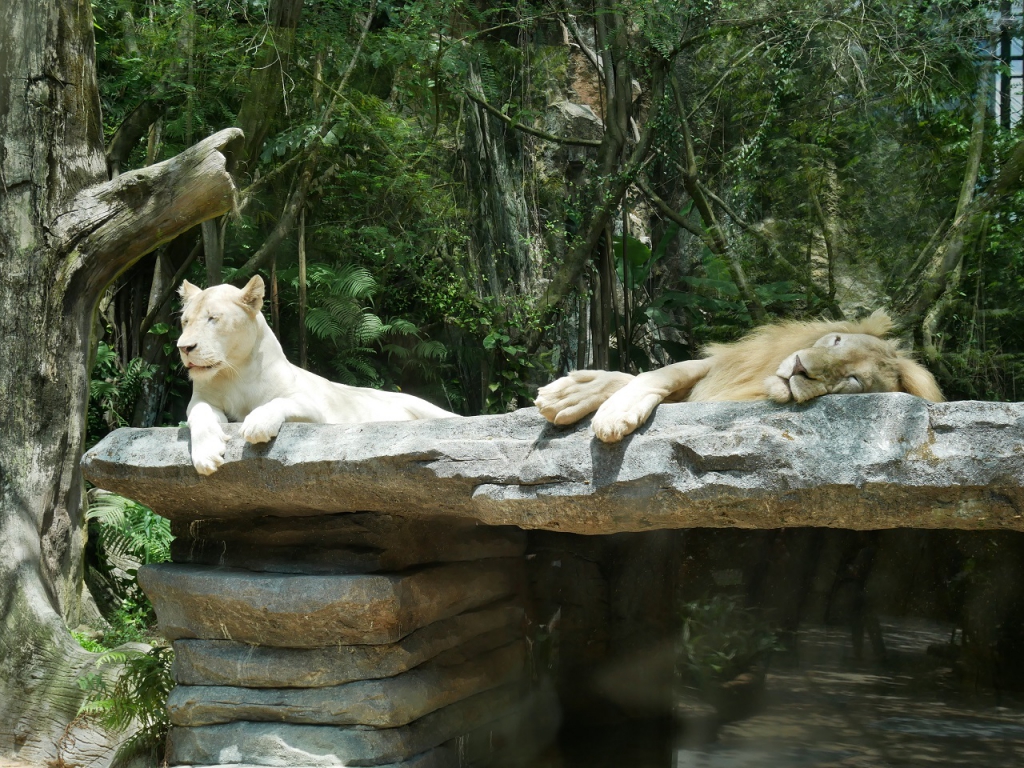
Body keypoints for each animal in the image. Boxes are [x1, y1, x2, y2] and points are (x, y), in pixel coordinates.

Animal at [178, 274, 458, 479]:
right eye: (185, 321)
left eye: (213, 318)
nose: (183, 347)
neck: (234, 372)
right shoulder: (202, 399)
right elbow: (199, 413)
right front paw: (206, 455)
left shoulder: (315, 408)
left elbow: (278, 402)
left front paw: (257, 424)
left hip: (426, 407)